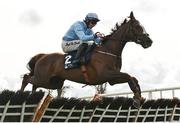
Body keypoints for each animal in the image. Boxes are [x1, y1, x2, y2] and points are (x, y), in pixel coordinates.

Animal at [20, 11, 152, 107]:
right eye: (137, 26)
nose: (149, 41)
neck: (108, 50)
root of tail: (42, 56)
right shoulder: (105, 74)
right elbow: (129, 76)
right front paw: (136, 99)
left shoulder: (112, 79)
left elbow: (133, 78)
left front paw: (139, 97)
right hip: (43, 79)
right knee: (26, 79)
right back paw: (22, 95)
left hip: (53, 82)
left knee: (34, 84)